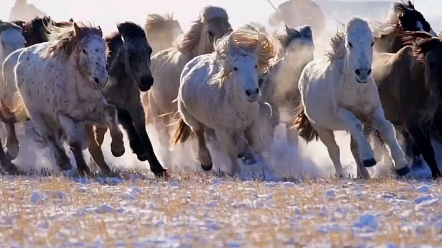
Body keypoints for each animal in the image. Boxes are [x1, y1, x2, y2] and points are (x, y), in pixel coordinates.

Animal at [0, 22, 124, 175]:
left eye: (103, 49)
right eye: (84, 50)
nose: (100, 79)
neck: (77, 89)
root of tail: (19, 55)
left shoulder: (93, 110)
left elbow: (111, 112)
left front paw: (118, 148)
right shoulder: (63, 115)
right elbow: (74, 142)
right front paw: (83, 169)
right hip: (37, 115)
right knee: (49, 137)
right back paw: (62, 161)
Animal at [86, 20, 167, 176]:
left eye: (149, 51)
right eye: (130, 53)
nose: (147, 81)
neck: (121, 84)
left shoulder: (137, 108)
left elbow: (144, 134)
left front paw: (157, 167)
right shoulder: (111, 105)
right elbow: (126, 119)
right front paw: (139, 150)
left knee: (100, 135)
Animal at [171, 28, 274, 176]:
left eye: (255, 65)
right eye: (235, 68)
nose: (252, 92)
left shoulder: (252, 121)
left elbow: (258, 146)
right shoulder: (221, 130)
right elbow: (231, 150)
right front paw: (235, 172)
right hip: (190, 118)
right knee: (199, 134)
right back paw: (206, 162)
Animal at [296, 16, 410, 177]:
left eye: (372, 43)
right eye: (350, 43)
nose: (362, 72)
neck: (357, 91)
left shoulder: (374, 110)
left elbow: (387, 128)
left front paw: (402, 166)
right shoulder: (343, 112)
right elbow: (356, 126)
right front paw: (369, 158)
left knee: (353, 148)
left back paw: (364, 175)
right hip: (320, 126)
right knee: (334, 150)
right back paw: (341, 175)